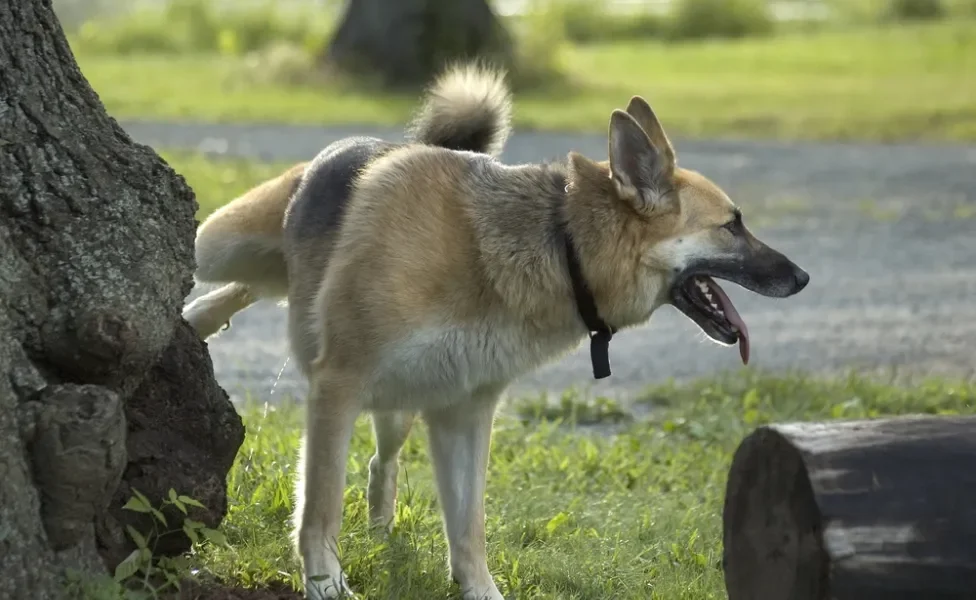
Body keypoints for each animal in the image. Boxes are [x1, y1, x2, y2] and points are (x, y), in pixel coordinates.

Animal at [181, 62, 808, 600]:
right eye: (732, 226)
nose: (802, 278)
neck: (558, 244)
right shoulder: (337, 386)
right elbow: (321, 505)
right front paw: (325, 582)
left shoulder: (463, 412)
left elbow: (468, 526)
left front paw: (478, 588)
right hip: (222, 245)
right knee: (236, 275)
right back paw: (197, 315)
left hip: (399, 406)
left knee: (381, 462)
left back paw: (381, 530)